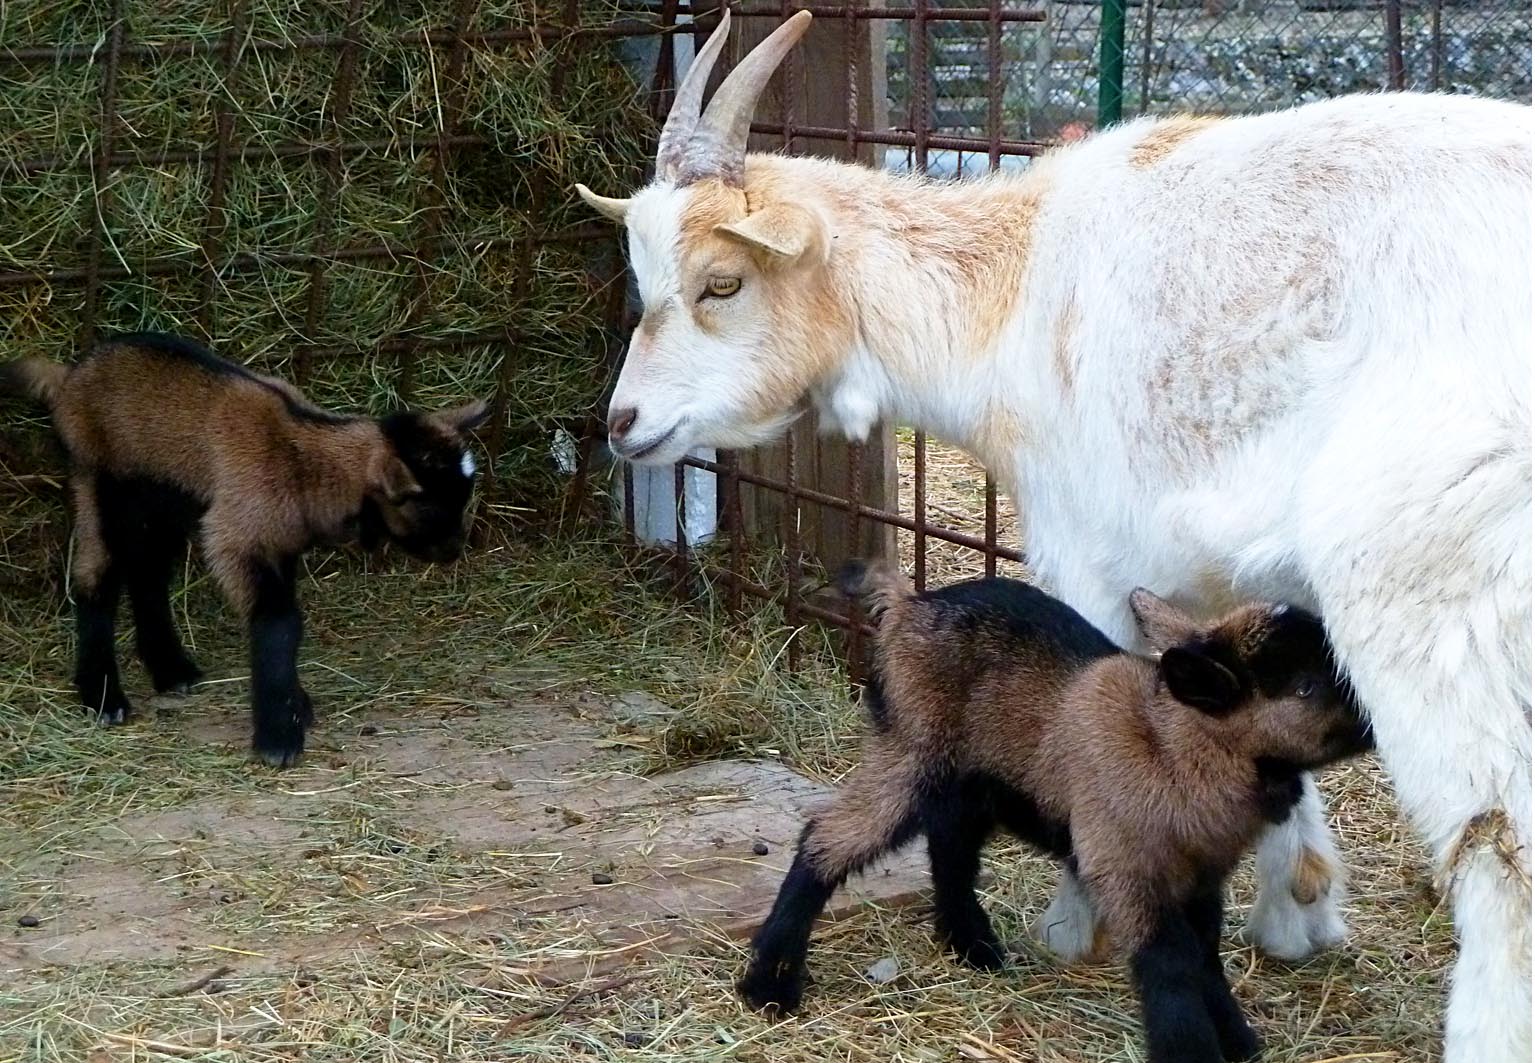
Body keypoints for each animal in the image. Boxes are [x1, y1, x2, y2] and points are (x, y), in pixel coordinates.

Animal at [580, 12, 1528, 1055]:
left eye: (722, 282)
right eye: (643, 279)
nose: (623, 423)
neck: (1017, 288)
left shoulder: (1088, 555)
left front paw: (1077, 918)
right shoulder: (1232, 581)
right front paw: (1298, 913)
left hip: (1436, 587)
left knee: (1502, 851)